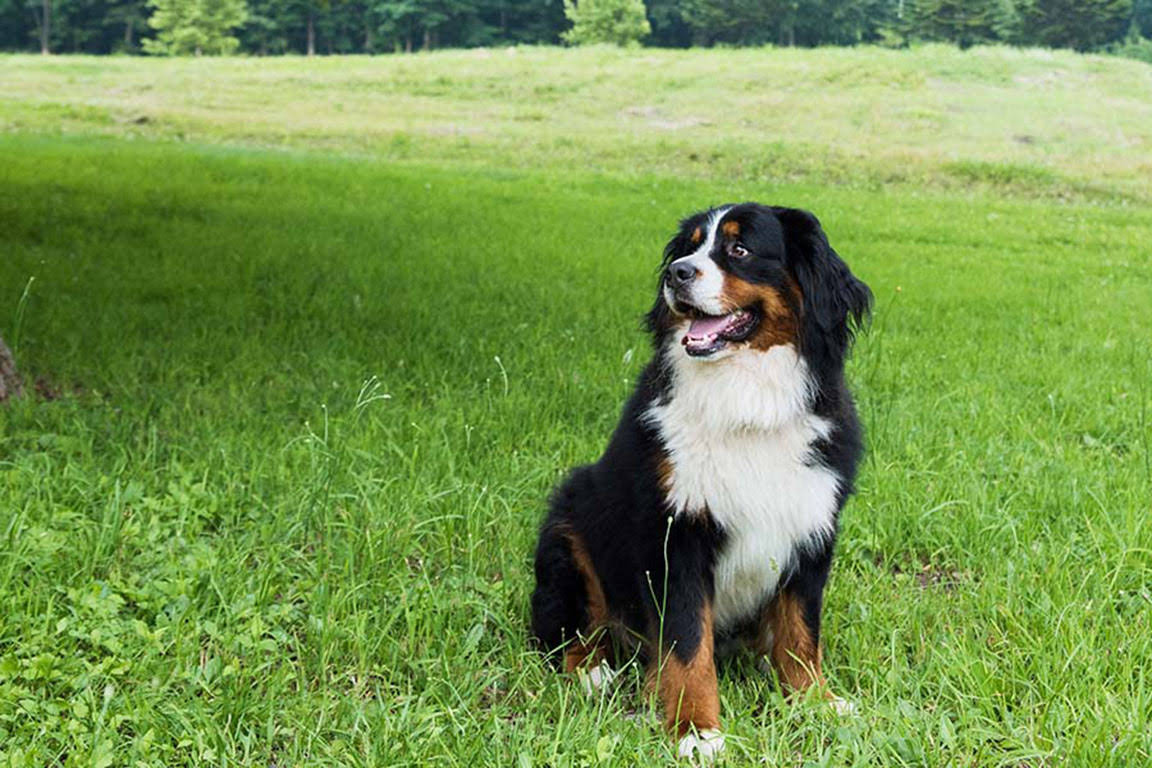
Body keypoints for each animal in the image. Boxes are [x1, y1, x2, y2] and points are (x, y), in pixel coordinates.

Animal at [529, 203, 870, 764]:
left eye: (739, 249)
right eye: (687, 248)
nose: (677, 274)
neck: (745, 402)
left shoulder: (811, 526)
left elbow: (801, 632)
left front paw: (815, 701)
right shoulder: (677, 534)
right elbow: (687, 644)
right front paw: (695, 729)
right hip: (570, 522)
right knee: (566, 628)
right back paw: (594, 671)